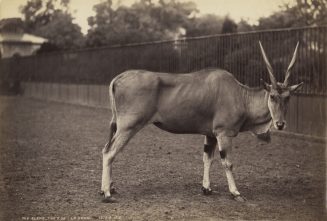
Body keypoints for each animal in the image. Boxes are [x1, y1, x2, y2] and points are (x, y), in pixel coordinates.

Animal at [100, 41, 304, 202]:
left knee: (108, 149)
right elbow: (227, 162)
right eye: (272, 96)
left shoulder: (210, 135)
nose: (280, 124)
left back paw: (109, 188)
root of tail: (117, 79)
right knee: (110, 152)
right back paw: (107, 194)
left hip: (119, 126)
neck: (240, 95)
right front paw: (235, 192)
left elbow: (208, 158)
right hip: (128, 127)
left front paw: (206, 188)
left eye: (288, 97)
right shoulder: (223, 133)